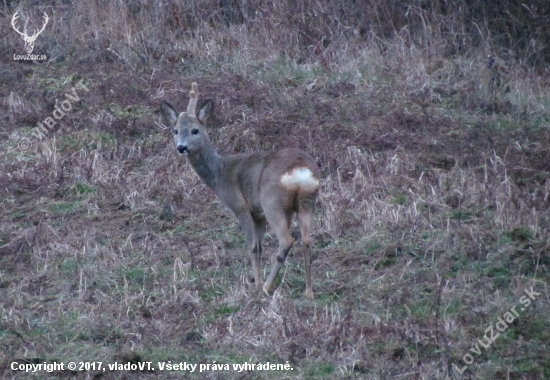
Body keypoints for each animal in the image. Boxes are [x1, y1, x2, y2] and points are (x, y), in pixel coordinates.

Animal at [162, 83, 322, 300]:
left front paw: (256, 286)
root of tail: (301, 170)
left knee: (287, 240)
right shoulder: (258, 214)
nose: (181, 147)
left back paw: (267, 288)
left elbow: (253, 246)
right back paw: (309, 292)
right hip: (307, 202)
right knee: (306, 241)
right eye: (175, 130)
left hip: (273, 202)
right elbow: (260, 246)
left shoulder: (241, 207)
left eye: (195, 130)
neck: (220, 173)